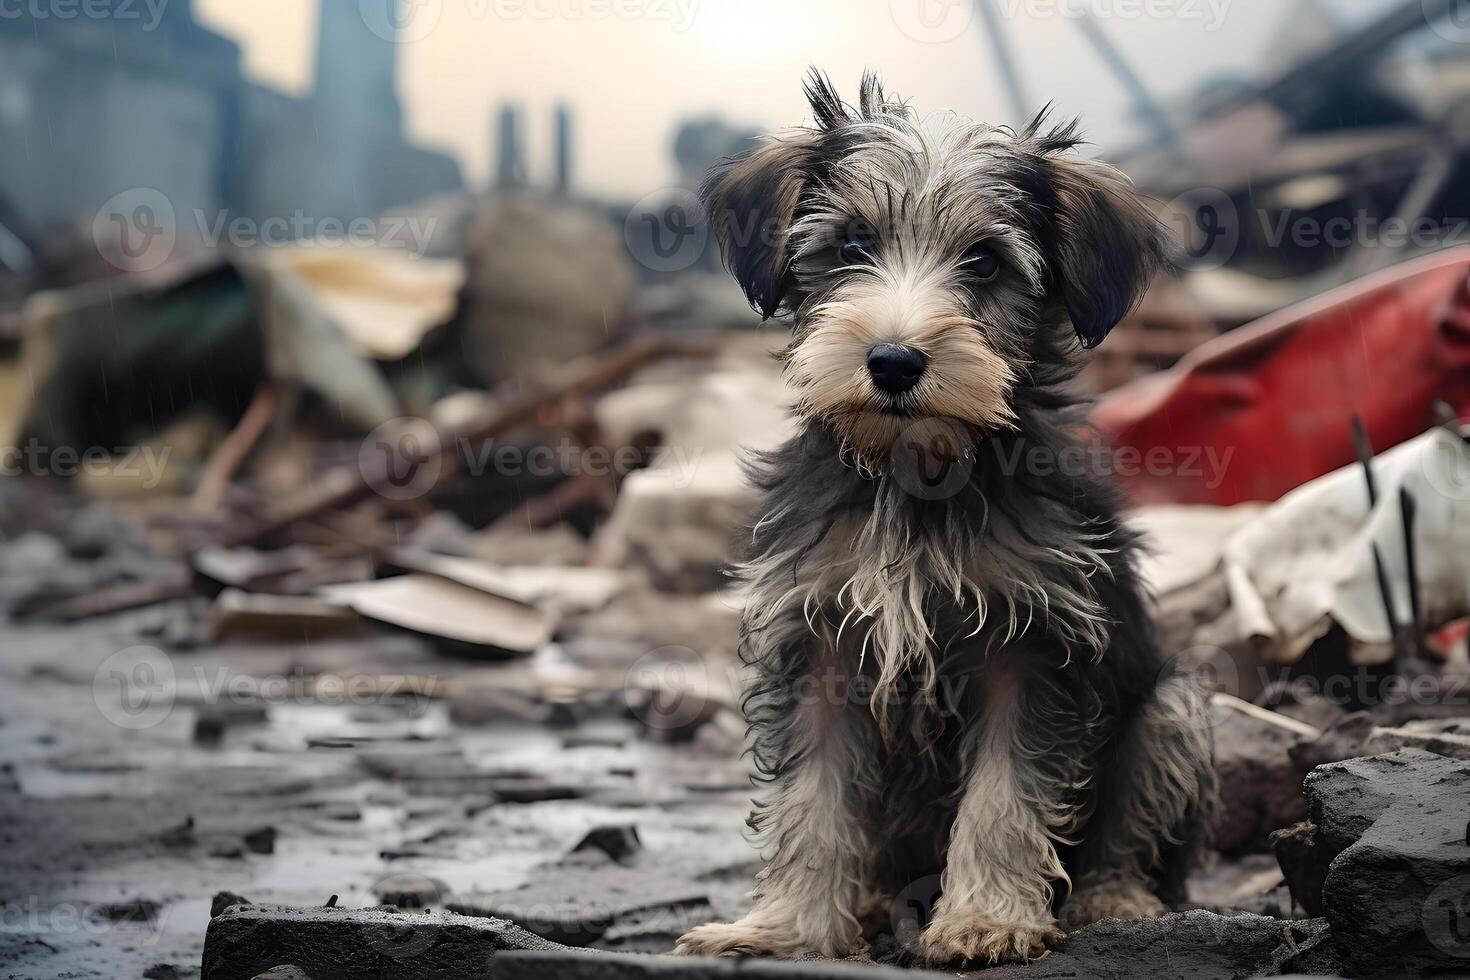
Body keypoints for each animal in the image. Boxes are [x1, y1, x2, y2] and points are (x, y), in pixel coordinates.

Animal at [673, 72, 1211, 969]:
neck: (913, 471)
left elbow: (1006, 796)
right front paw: (787, 929)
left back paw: (1118, 899)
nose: (893, 362)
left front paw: (985, 920)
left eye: (985, 261)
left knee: (1132, 831)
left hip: (1172, 707)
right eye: (851, 245)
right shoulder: (818, 643)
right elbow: (810, 800)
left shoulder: (1034, 646)